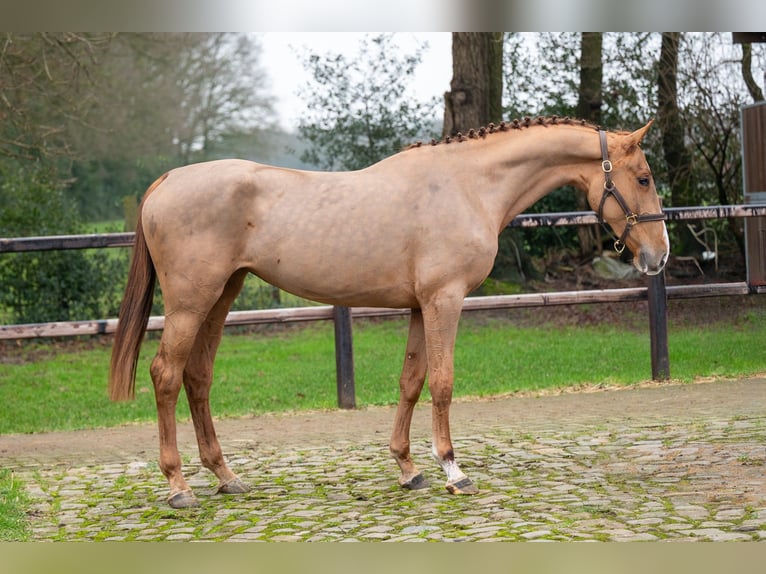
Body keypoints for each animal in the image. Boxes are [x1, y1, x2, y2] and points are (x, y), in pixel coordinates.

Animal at [111, 118, 668, 508]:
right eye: (643, 177)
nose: (658, 256)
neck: (467, 184)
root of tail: (166, 180)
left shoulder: (422, 307)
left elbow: (412, 381)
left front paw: (408, 468)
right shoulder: (445, 300)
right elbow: (442, 382)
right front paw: (453, 471)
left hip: (222, 296)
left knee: (197, 377)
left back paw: (226, 478)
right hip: (191, 303)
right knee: (166, 375)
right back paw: (179, 487)